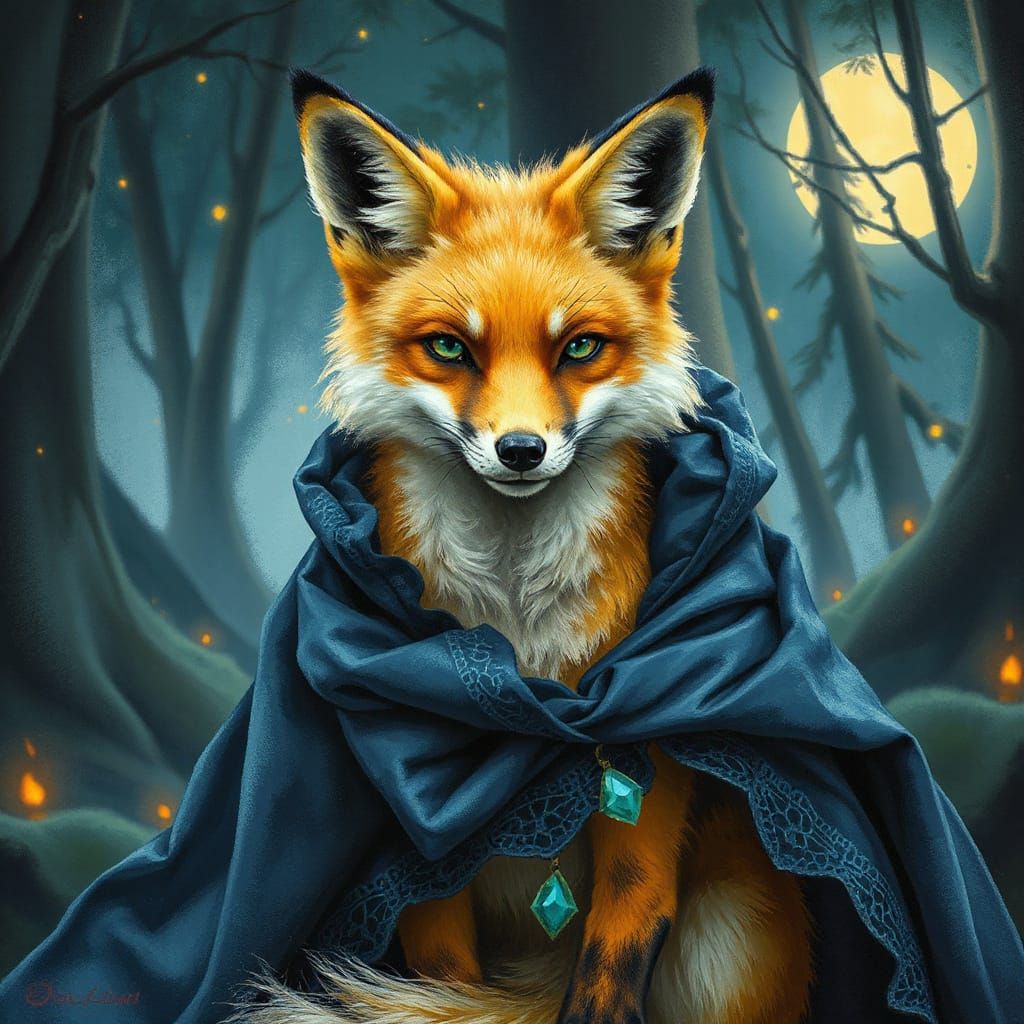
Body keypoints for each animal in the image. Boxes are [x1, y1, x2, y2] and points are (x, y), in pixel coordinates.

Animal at [247, 68, 813, 1024]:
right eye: (449, 348)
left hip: (725, 953)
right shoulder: (418, 833)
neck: (521, 644)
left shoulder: (647, 785)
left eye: (578, 347)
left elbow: (619, 943)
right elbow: (441, 974)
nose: (521, 450)